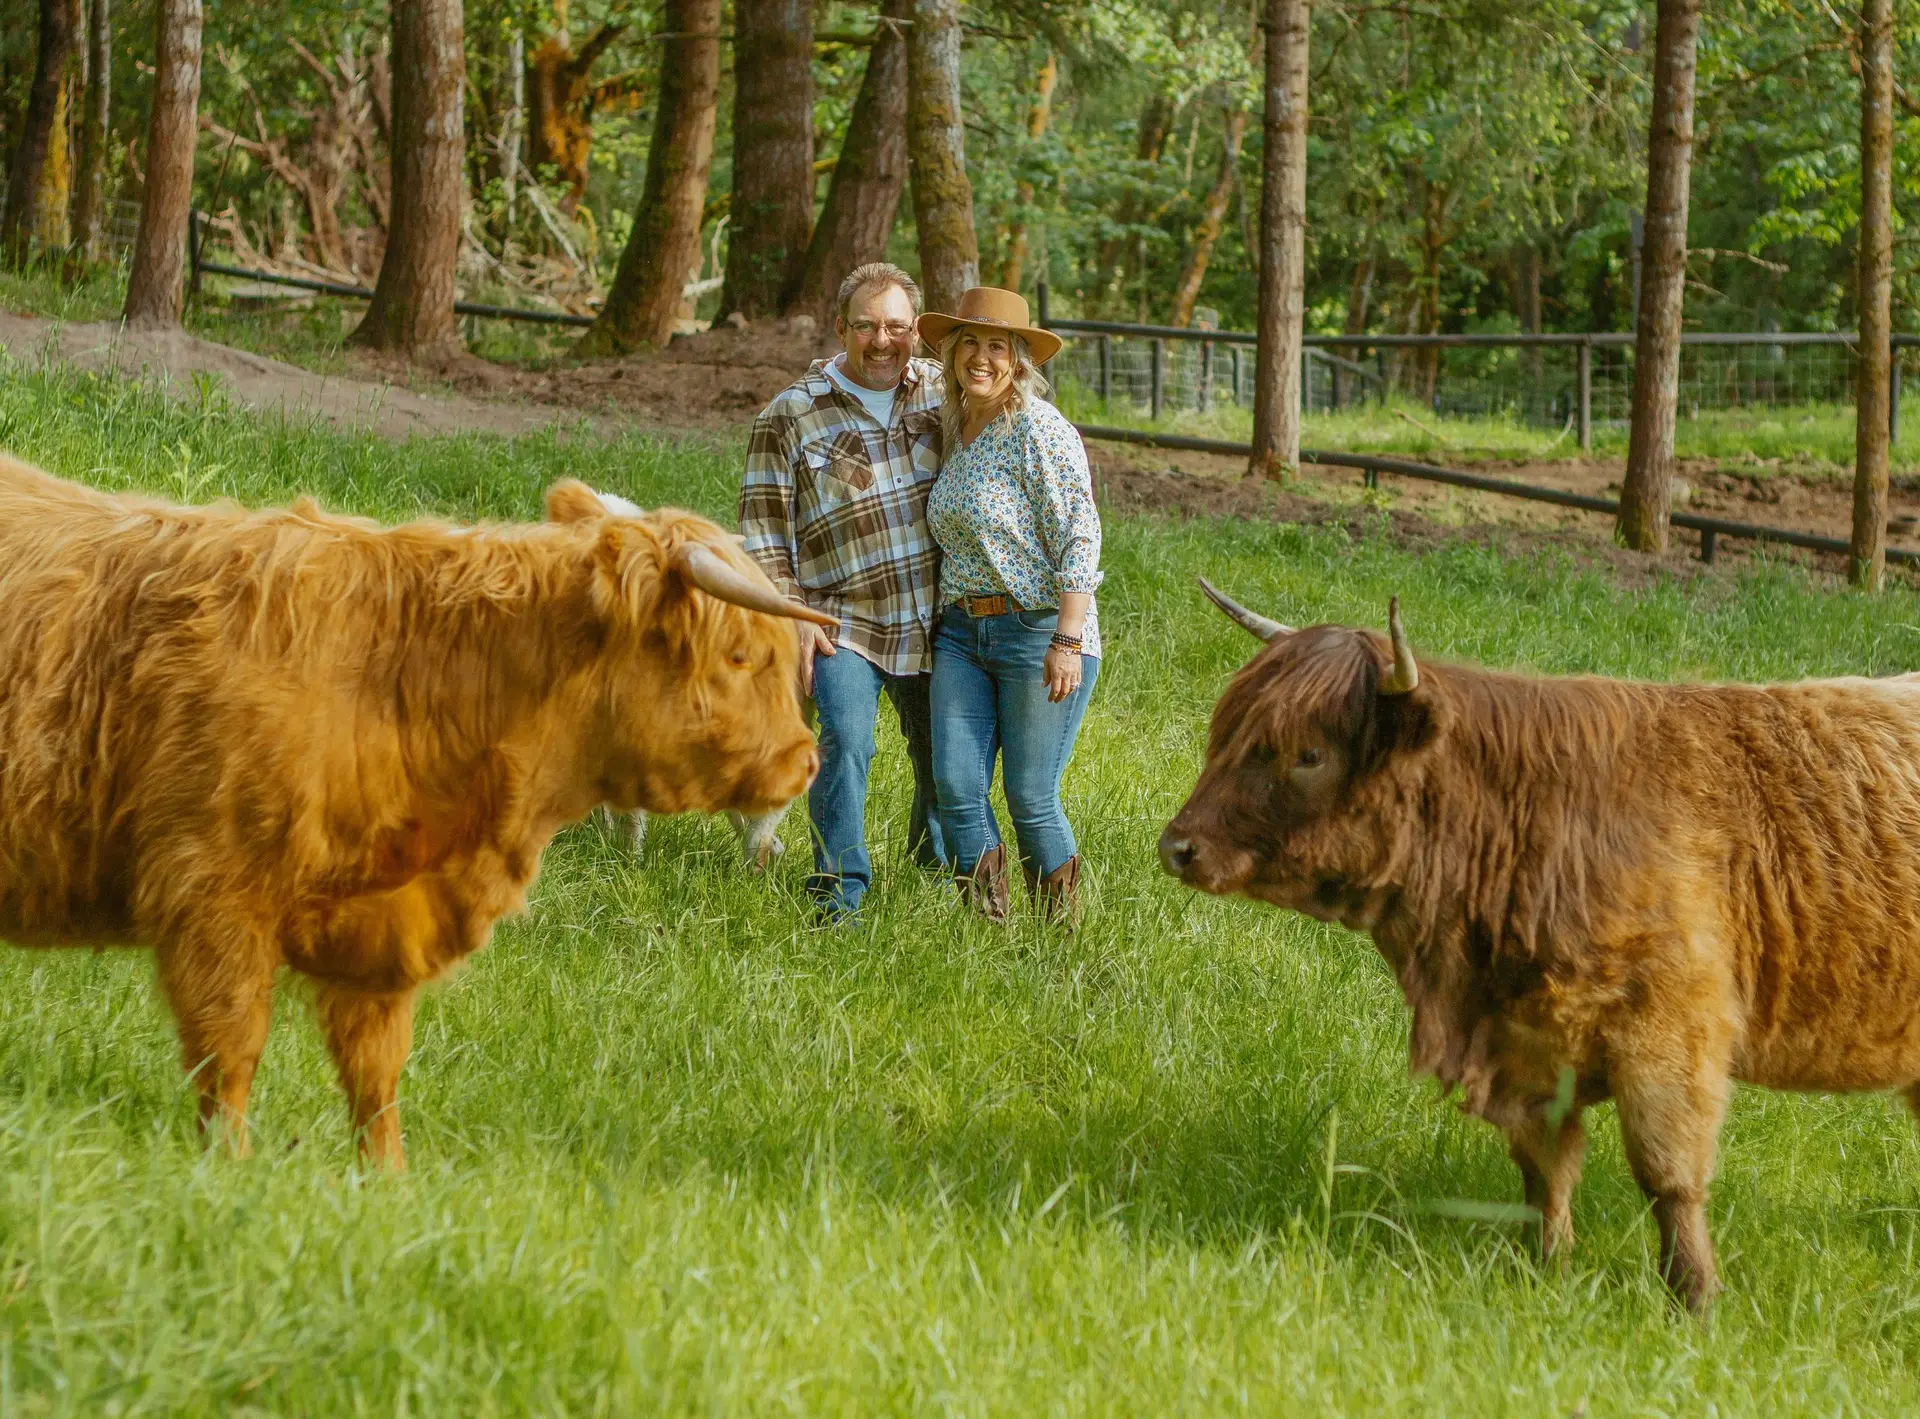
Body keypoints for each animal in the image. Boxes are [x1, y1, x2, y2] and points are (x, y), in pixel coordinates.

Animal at [0, 458, 831, 1170]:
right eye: (738, 655)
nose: (806, 760)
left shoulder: (383, 929)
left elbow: (376, 1072)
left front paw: (387, 1177)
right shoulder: (212, 898)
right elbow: (229, 1049)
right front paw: (227, 1165)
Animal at [1160, 578, 1920, 1312]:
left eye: (1309, 754)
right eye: (1226, 733)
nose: (1178, 847)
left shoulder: (1671, 1033)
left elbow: (1668, 1174)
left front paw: (1694, 1298)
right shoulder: (1526, 1051)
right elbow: (1544, 1171)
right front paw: (1546, 1268)